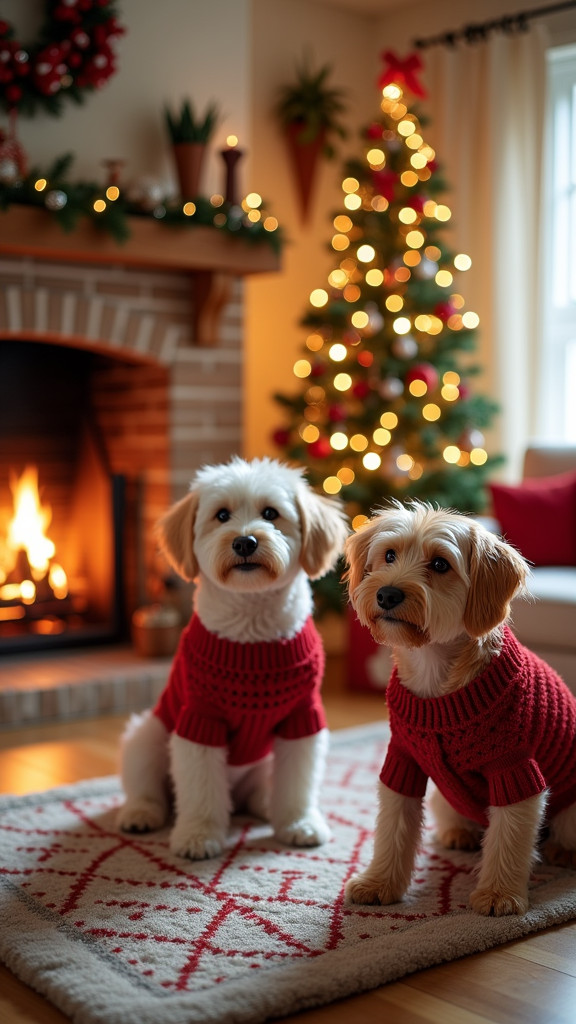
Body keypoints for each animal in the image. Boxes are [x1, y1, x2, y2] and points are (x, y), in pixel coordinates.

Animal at [116, 456, 344, 856]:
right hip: (148, 734)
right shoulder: (200, 719)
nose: (245, 541)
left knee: (257, 793)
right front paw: (199, 834)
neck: (251, 637)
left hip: (260, 762)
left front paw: (298, 822)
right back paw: (141, 813)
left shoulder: (302, 719)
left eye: (271, 513)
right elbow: (200, 791)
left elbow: (298, 785)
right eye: (221, 515)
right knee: (152, 791)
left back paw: (266, 805)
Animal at [340, 505, 573, 921]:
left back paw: (561, 850)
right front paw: (379, 883)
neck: (436, 678)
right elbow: (393, 829)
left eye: (440, 564)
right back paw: (459, 832)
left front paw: (499, 894)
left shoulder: (515, 770)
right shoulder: (403, 761)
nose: (387, 594)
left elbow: (509, 837)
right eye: (389, 555)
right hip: (442, 797)